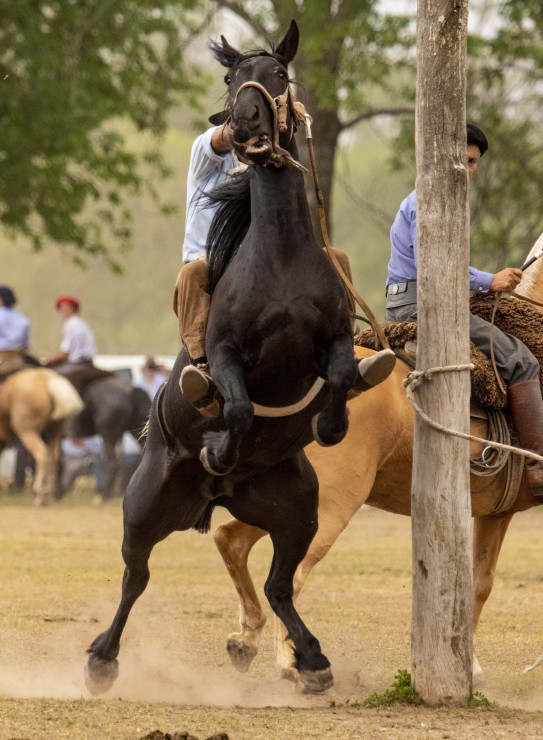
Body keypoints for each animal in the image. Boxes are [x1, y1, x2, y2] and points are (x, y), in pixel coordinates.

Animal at [0, 368, 84, 506]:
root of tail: (49, 380)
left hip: (28, 432)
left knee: (41, 454)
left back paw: (39, 493)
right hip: (54, 431)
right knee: (53, 456)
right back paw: (47, 494)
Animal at [85, 18, 360, 700]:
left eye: (280, 75)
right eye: (233, 77)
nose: (244, 122)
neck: (279, 256)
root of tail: (216, 498)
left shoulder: (335, 336)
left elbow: (343, 372)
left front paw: (332, 421)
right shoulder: (230, 354)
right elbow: (233, 406)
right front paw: (218, 444)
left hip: (297, 510)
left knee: (279, 584)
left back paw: (312, 660)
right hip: (143, 503)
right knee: (135, 577)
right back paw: (102, 658)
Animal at [210, 240, 543, 692]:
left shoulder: (495, 513)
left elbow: (478, 584)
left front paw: (469, 666)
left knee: (230, 540)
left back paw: (245, 639)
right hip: (329, 506)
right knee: (288, 578)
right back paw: (295, 663)